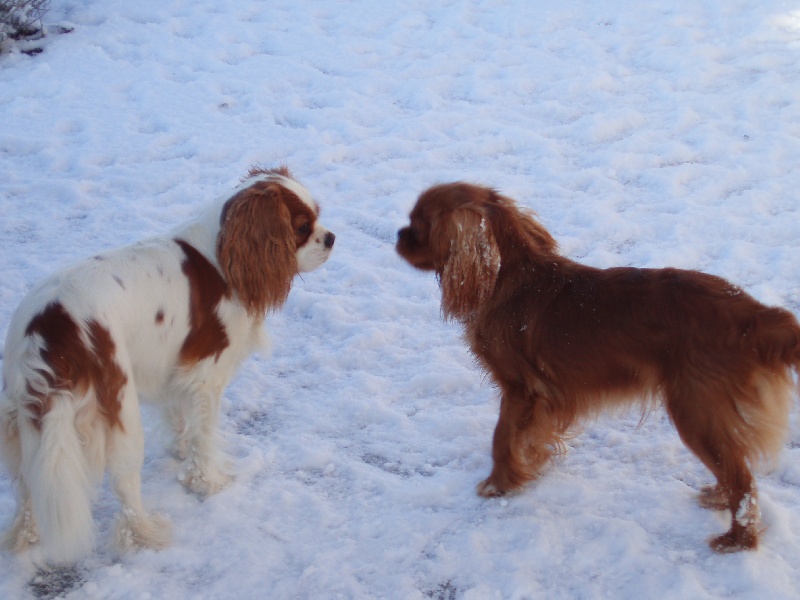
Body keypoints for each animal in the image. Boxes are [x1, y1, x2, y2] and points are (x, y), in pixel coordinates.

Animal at [0, 165, 334, 564]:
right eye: (302, 227)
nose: (331, 237)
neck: (221, 255)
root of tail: (49, 326)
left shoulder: (176, 367)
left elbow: (179, 417)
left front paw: (181, 450)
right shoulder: (206, 376)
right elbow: (204, 436)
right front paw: (208, 483)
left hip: (23, 416)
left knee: (27, 485)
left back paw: (26, 536)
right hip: (122, 413)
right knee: (125, 485)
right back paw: (144, 534)